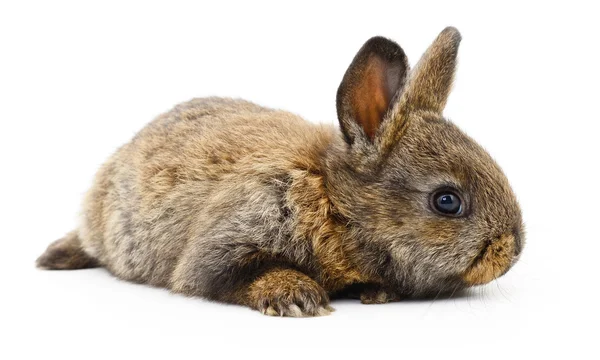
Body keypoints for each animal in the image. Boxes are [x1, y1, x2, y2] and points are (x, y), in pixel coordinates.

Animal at [37, 26, 524, 316]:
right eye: (447, 201)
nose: (513, 250)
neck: (331, 202)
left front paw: (378, 293)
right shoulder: (228, 240)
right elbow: (237, 275)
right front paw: (297, 297)